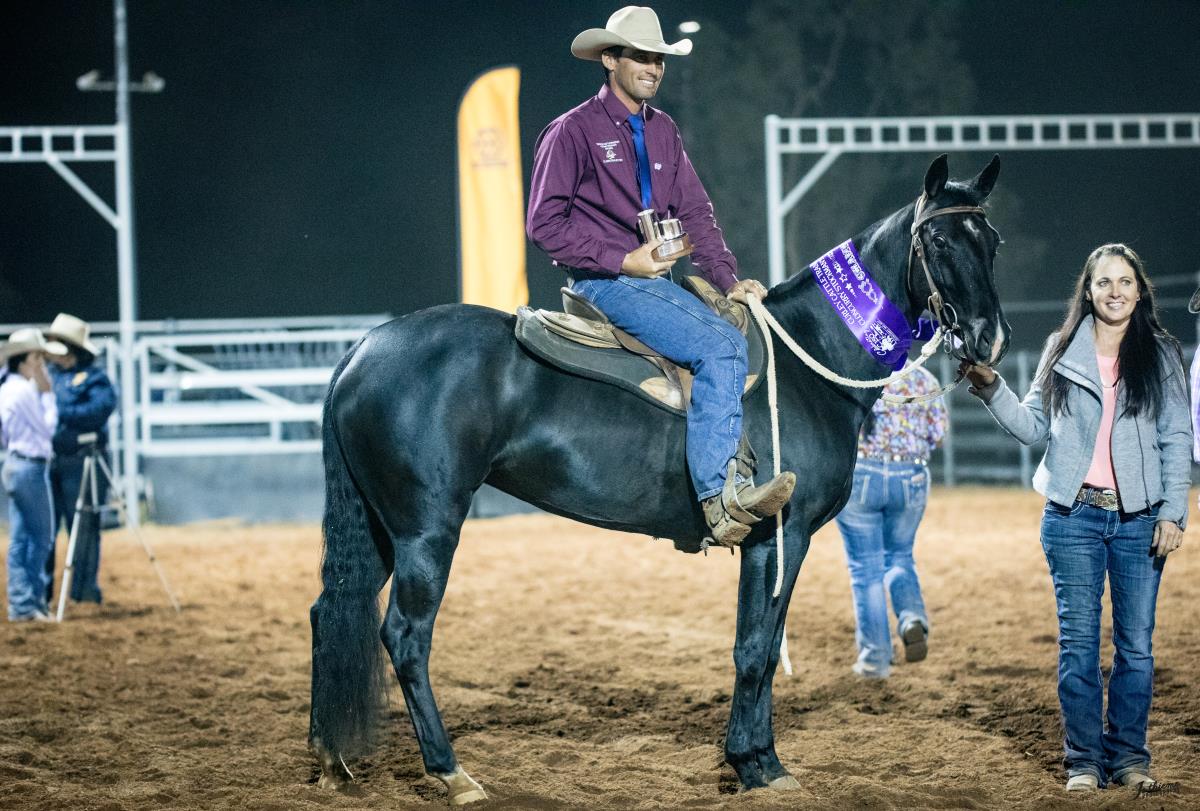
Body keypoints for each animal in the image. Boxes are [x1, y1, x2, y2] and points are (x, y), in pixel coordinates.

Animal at [308, 154, 1009, 804]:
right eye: (939, 241)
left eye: (992, 241)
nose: (988, 338)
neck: (809, 362)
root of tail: (363, 349)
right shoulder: (779, 537)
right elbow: (754, 647)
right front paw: (757, 764)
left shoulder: (779, 543)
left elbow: (762, 647)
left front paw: (755, 760)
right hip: (426, 529)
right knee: (405, 636)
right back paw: (452, 773)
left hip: (381, 529)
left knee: (329, 612)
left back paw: (330, 760)